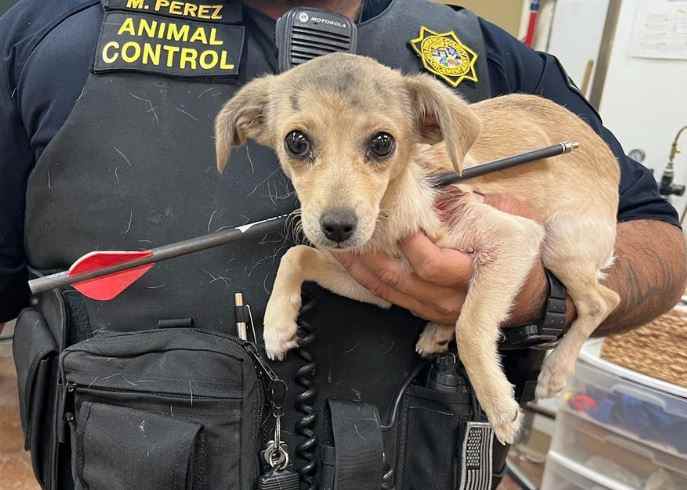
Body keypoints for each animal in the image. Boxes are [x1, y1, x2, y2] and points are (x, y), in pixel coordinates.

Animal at [212, 53, 620, 444]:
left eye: (382, 143)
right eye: (296, 142)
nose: (338, 227)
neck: (389, 219)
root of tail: (603, 150)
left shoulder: (513, 236)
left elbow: (472, 326)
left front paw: (500, 407)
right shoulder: (376, 286)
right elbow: (296, 255)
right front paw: (277, 326)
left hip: (560, 243)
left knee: (603, 300)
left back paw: (555, 371)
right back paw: (438, 329)